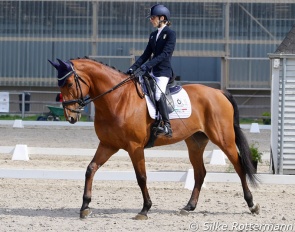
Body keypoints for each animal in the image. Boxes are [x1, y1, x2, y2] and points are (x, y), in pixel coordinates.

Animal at [49, 57, 262, 220]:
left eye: (69, 83)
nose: (71, 117)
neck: (117, 99)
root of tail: (218, 92)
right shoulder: (108, 145)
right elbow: (90, 169)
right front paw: (85, 207)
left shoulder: (135, 147)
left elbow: (141, 177)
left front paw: (145, 209)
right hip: (195, 142)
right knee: (200, 173)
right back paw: (189, 207)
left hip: (224, 139)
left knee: (239, 166)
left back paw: (252, 204)